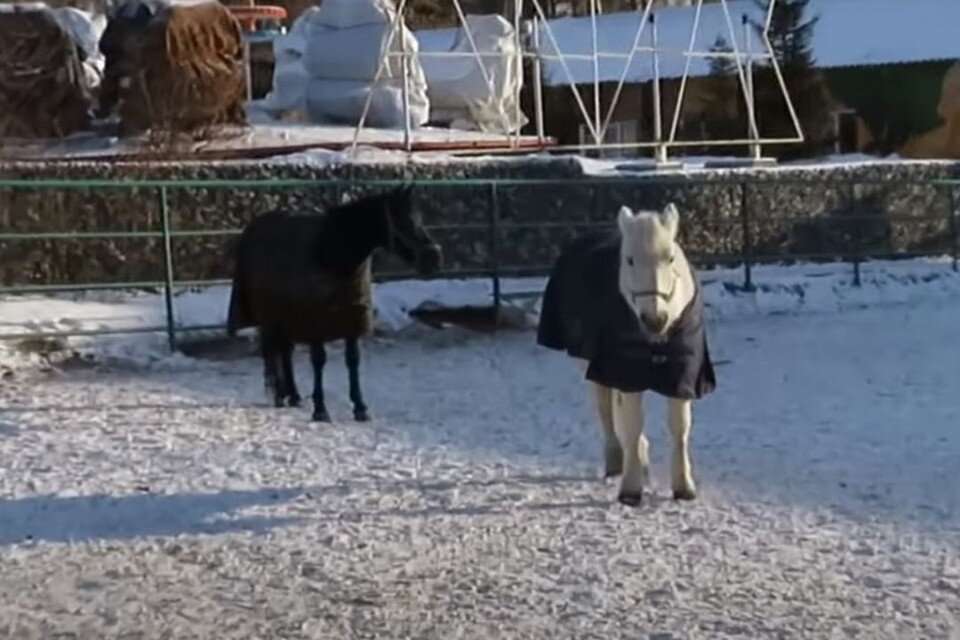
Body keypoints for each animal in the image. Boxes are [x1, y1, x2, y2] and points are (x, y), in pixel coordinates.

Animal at [227, 188, 440, 422]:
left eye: (419, 217)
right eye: (400, 219)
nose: (433, 257)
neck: (332, 256)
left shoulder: (352, 320)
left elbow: (353, 361)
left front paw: (360, 408)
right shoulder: (315, 324)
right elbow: (319, 360)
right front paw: (320, 409)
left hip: (286, 317)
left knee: (285, 352)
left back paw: (294, 396)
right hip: (271, 318)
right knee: (275, 353)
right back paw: (281, 396)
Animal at [536, 204, 716, 504]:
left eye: (670, 257)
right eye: (629, 260)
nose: (655, 319)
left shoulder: (683, 374)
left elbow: (679, 427)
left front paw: (683, 486)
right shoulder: (625, 371)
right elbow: (631, 423)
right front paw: (631, 489)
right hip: (590, 364)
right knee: (605, 409)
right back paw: (617, 461)